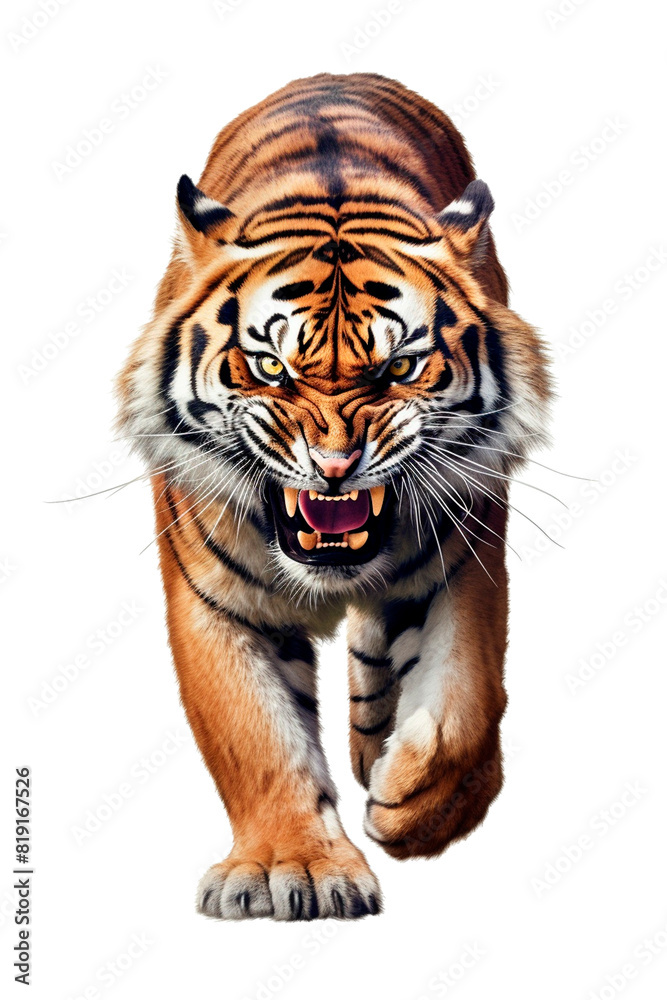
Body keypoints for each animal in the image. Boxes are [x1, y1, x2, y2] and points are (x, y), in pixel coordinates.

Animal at [117, 72, 551, 921]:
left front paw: (416, 801)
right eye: (271, 369)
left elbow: (465, 699)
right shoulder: (214, 597)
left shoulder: (468, 552)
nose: (334, 464)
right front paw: (292, 867)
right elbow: (253, 734)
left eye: (398, 369)